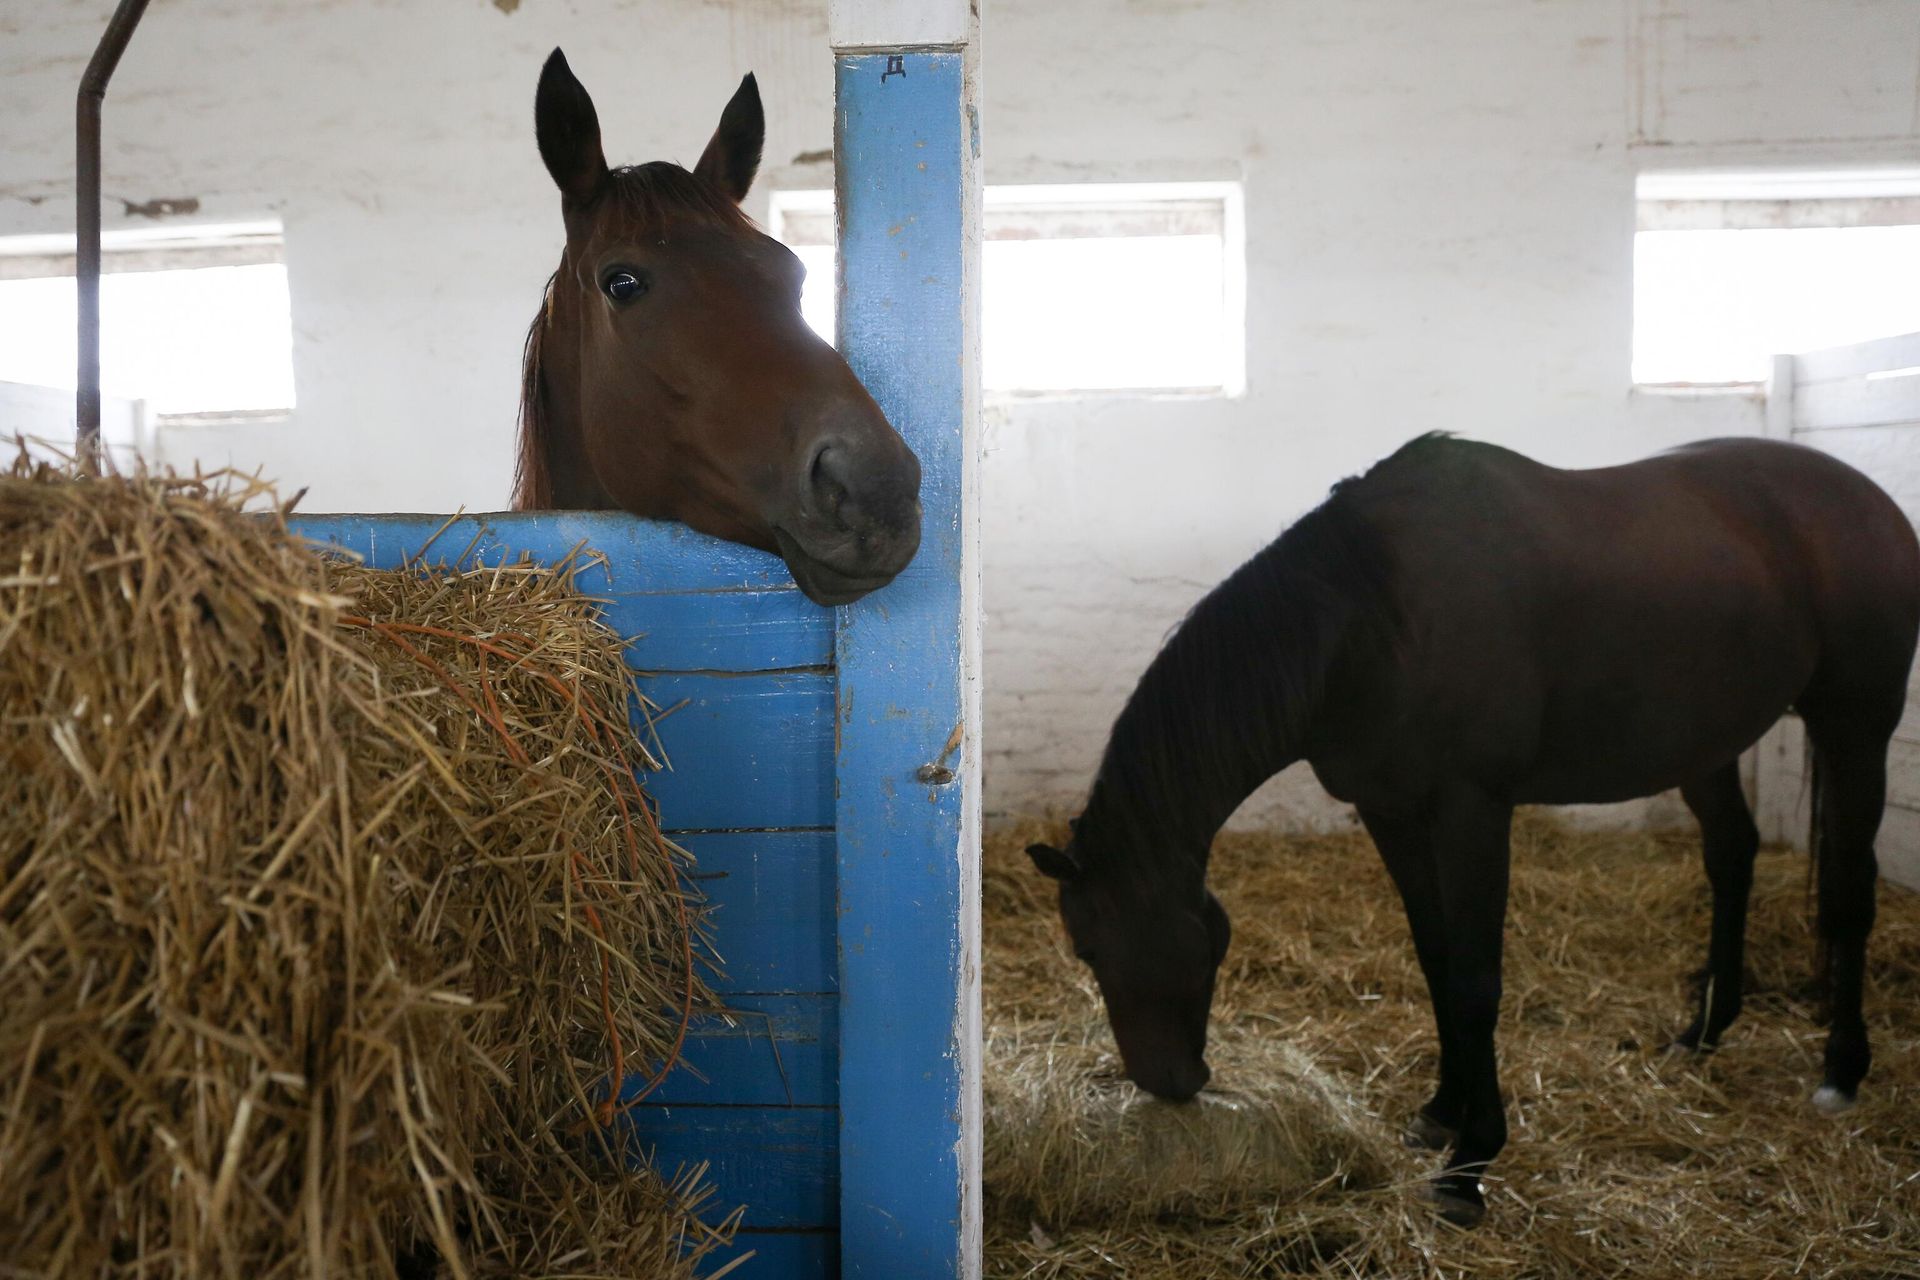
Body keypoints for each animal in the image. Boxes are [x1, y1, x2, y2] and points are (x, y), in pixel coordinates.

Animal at [1025, 433, 1920, 1226]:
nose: (1166, 1082)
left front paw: (1471, 1165)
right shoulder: (1391, 811)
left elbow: (1476, 981)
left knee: (1850, 890)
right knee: (1732, 857)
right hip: (1706, 744)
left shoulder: (1472, 810)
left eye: (1094, 948)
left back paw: (1842, 1070)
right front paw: (1442, 1111)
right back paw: (1703, 1032)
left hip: (1854, 727)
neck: (1371, 620)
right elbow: (1436, 961)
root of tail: (1868, 499)